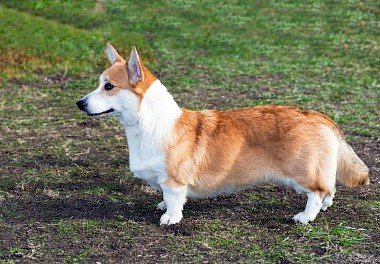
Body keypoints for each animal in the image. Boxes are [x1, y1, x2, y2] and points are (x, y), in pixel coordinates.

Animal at [75, 42, 370, 225]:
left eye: (109, 86)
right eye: (100, 84)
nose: (79, 103)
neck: (150, 124)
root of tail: (319, 117)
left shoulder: (174, 181)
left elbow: (173, 199)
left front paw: (170, 218)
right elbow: (165, 198)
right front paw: (162, 206)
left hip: (303, 172)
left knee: (317, 192)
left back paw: (305, 217)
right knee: (329, 189)